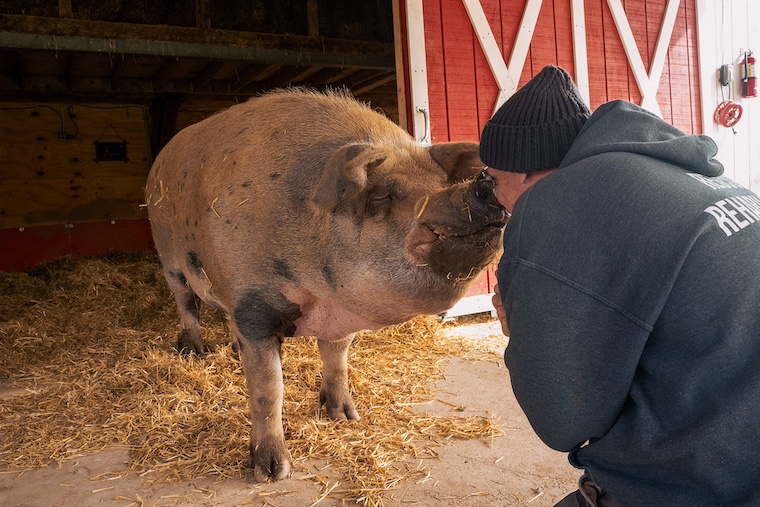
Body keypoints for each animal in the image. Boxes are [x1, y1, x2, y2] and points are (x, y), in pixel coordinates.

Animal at [145, 88, 507, 482]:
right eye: (382, 195)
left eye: (442, 184)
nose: (483, 185)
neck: (322, 298)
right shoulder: (253, 306)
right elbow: (267, 388)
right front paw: (272, 472)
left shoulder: (340, 316)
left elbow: (338, 360)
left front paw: (346, 417)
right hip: (167, 251)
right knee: (185, 302)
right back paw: (195, 351)